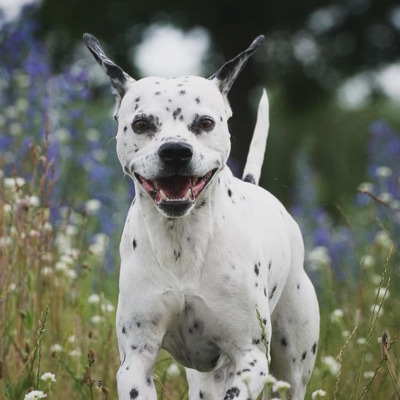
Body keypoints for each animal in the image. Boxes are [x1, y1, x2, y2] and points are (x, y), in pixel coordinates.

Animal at [83, 32, 318, 400]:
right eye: (141, 124)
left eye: (205, 123)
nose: (175, 151)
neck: (181, 242)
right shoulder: (136, 359)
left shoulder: (249, 357)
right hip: (204, 380)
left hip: (291, 365)